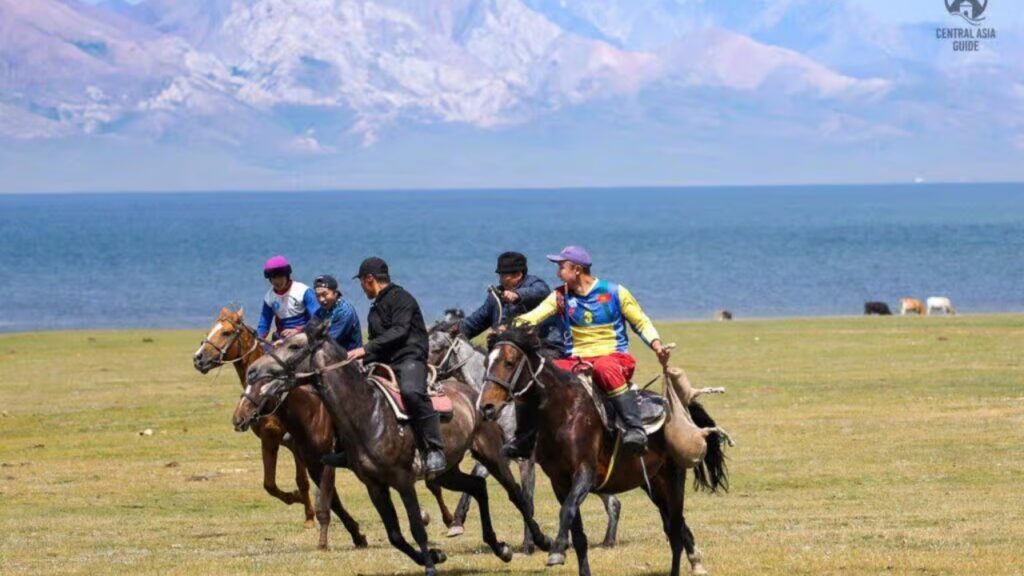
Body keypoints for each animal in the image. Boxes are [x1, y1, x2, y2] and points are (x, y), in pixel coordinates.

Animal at [192, 307, 315, 526]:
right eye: (210, 329)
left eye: (226, 332)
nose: (198, 358)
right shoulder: (270, 440)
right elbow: (270, 484)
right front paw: (298, 500)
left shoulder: (294, 442)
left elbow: (301, 480)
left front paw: (309, 516)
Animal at [247, 319, 552, 576]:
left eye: (295, 346)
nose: (253, 371)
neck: (368, 413)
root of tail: (476, 396)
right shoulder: (375, 486)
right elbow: (395, 535)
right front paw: (437, 555)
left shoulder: (403, 480)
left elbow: (416, 526)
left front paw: (430, 566)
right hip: (446, 471)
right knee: (477, 487)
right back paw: (499, 547)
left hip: (493, 456)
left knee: (516, 495)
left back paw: (541, 541)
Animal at [426, 316, 623, 552]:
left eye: (437, 348)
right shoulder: (499, 454)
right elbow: (478, 479)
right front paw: (456, 522)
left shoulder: (525, 460)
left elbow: (526, 497)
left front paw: (530, 543)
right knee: (611, 499)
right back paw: (606, 539)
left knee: (611, 501)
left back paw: (608, 540)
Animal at [479, 326, 729, 576]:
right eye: (486, 363)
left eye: (509, 362)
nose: (486, 406)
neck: (564, 412)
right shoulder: (559, 482)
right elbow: (578, 534)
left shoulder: (584, 473)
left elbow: (567, 511)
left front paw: (557, 549)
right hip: (654, 484)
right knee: (675, 527)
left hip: (673, 479)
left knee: (675, 530)